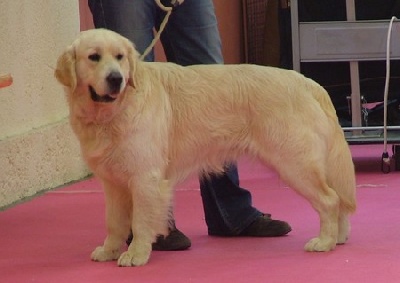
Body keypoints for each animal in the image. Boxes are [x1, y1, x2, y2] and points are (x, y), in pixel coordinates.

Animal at [54, 30, 356, 268]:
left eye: (120, 57)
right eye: (94, 57)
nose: (116, 78)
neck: (113, 112)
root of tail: (306, 81)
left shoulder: (145, 178)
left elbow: (139, 222)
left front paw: (137, 254)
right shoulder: (113, 183)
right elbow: (115, 223)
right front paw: (109, 250)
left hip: (294, 163)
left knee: (330, 199)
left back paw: (324, 241)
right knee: (339, 199)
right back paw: (339, 238)